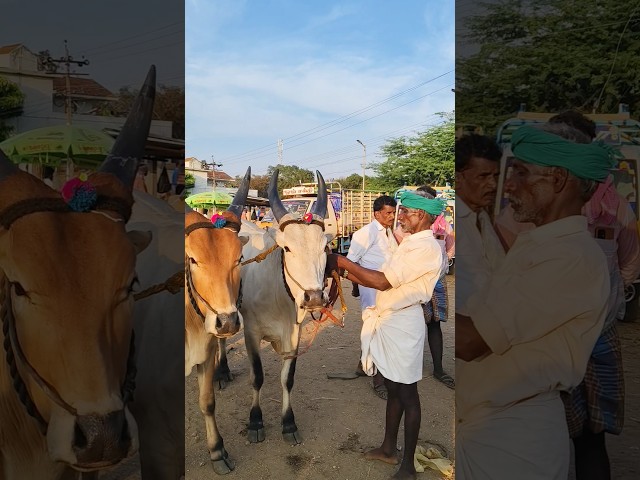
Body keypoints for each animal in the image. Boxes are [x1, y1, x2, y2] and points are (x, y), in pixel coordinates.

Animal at [239, 171, 330, 444]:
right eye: (287, 248)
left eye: (324, 247)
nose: (314, 297)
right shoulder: (251, 333)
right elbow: (257, 377)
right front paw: (255, 421)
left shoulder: (293, 334)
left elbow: (287, 379)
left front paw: (288, 423)